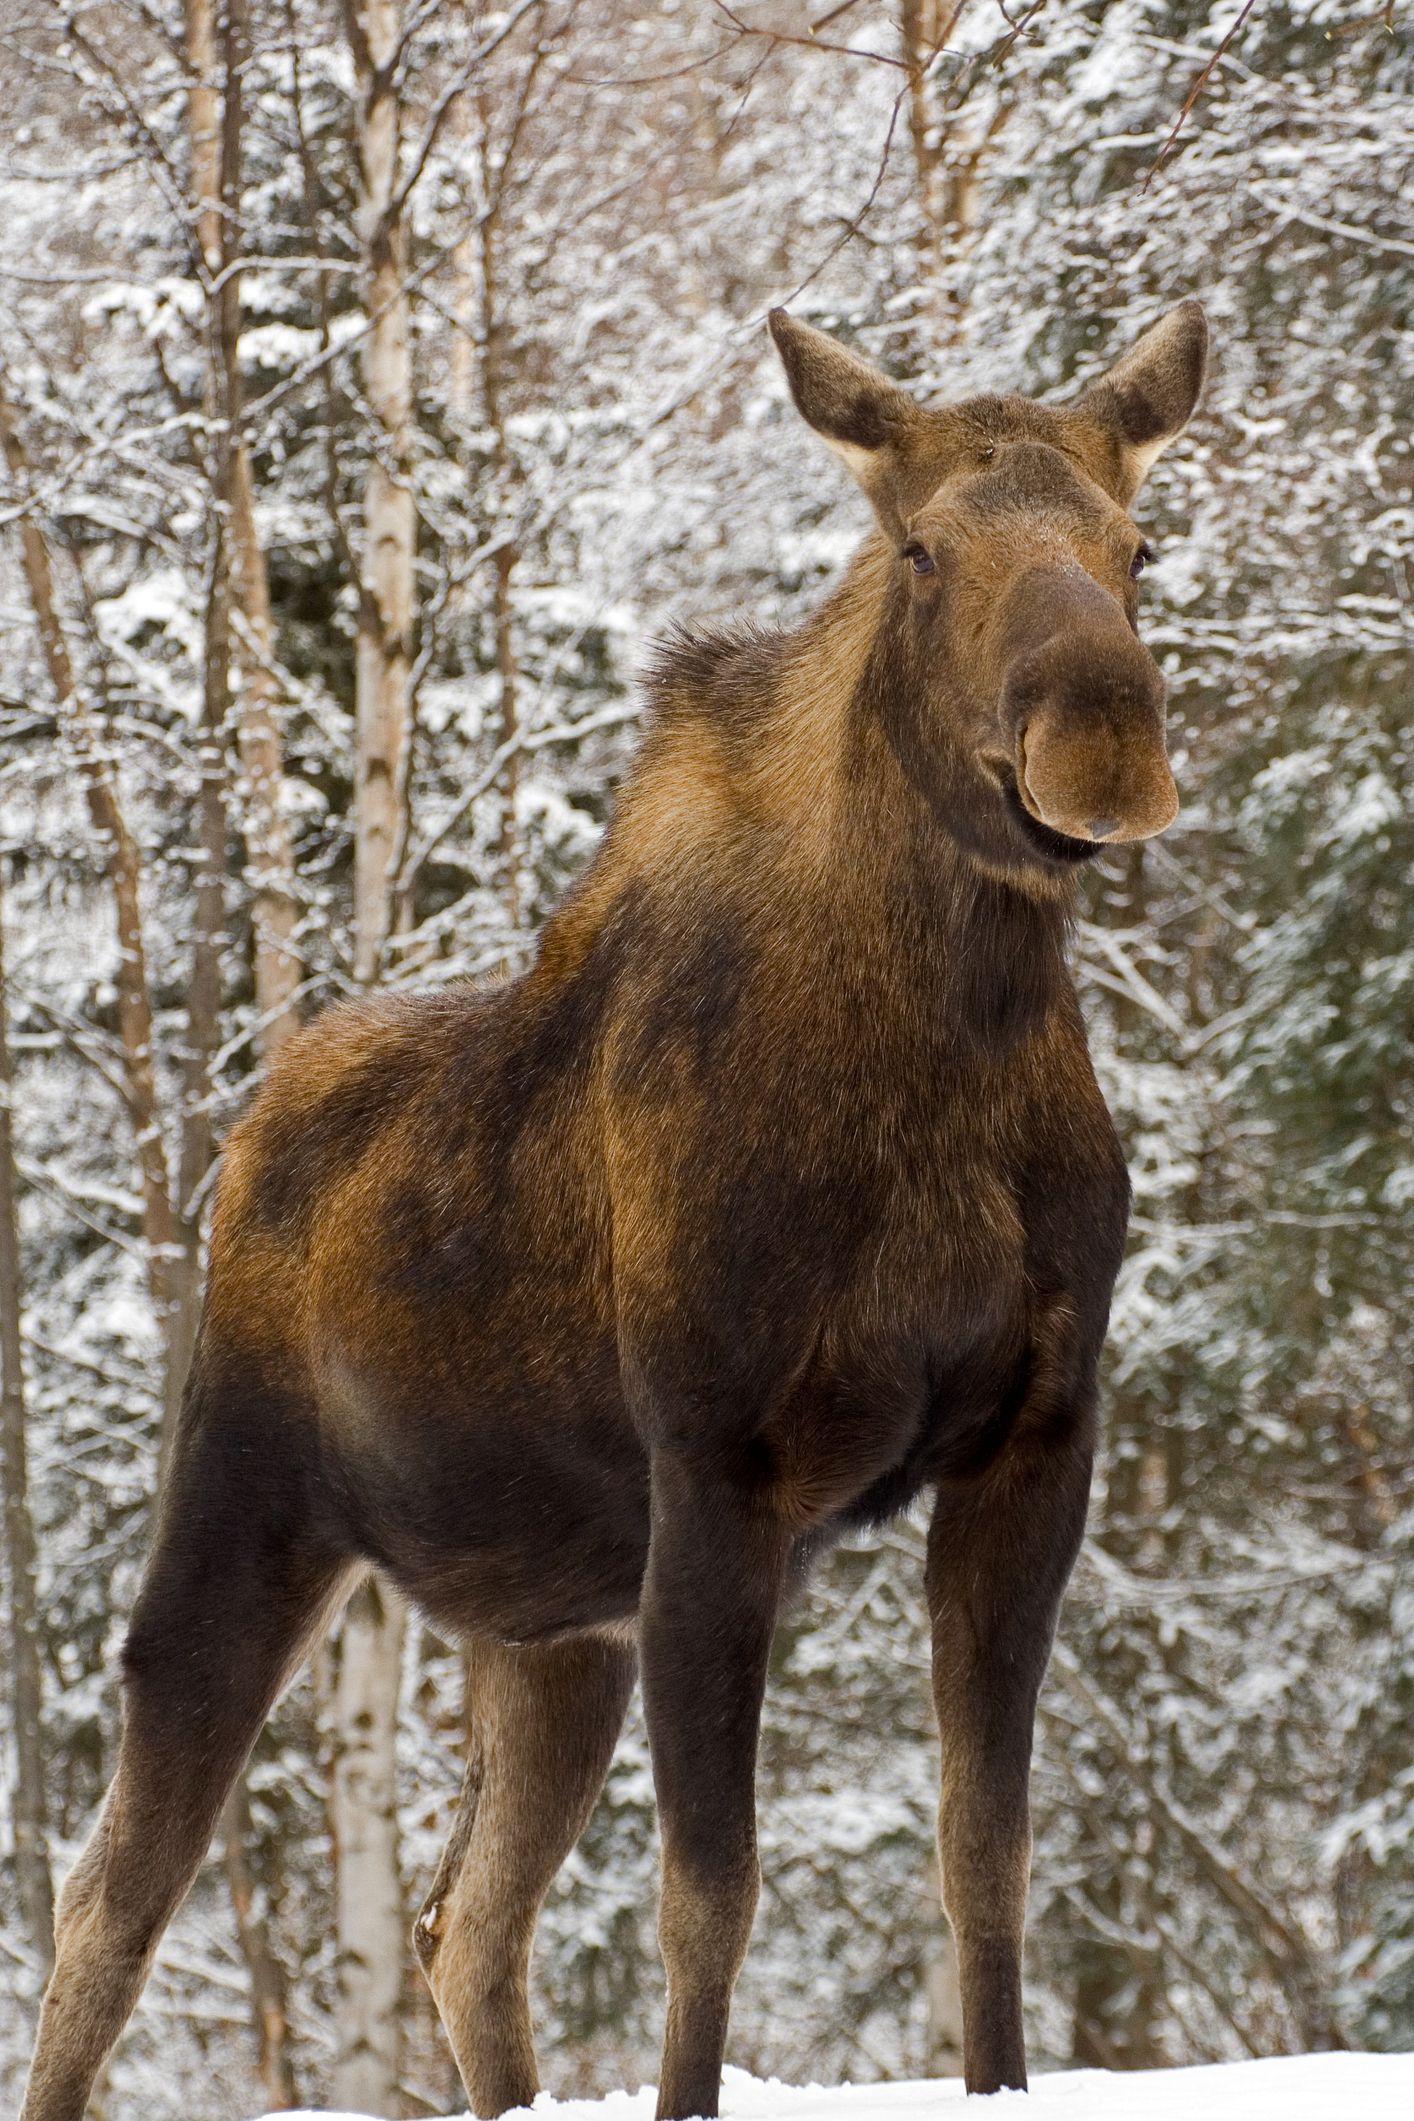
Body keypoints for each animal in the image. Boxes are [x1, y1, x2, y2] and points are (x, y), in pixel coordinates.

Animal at [21, 298, 1208, 2120]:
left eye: (1135, 542)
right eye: (918, 545)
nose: (1103, 736)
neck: (949, 1049)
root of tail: (248, 1128)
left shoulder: (1036, 1437)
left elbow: (985, 1859)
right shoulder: (718, 1466)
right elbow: (707, 1895)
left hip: (545, 1622)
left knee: (462, 1922)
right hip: (245, 1506)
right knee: (112, 1895)